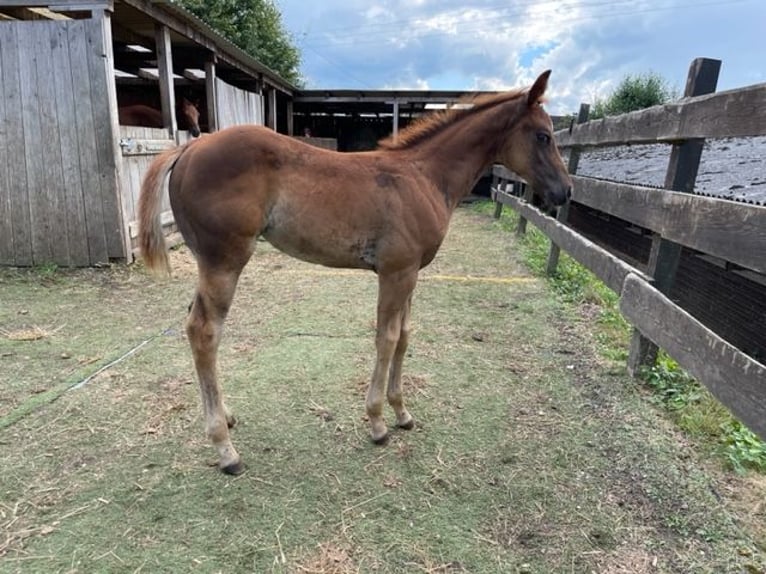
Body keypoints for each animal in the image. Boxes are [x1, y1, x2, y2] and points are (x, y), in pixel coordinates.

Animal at [138, 70, 572, 475]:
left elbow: (404, 337)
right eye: (543, 136)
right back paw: (225, 450)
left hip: (208, 261)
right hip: (224, 261)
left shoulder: (411, 273)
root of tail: (190, 146)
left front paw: (402, 413)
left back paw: (226, 417)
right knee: (204, 331)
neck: (423, 177)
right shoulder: (395, 273)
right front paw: (378, 422)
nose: (566, 192)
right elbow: (387, 338)